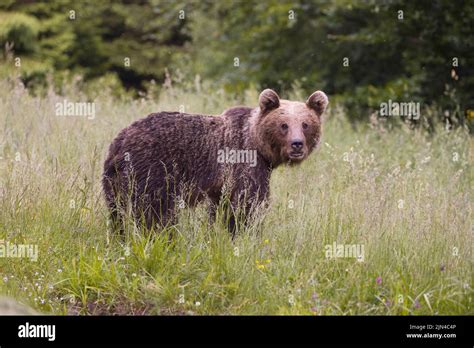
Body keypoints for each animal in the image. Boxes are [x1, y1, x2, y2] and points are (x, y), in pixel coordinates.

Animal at [102, 89, 328, 235]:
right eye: (283, 125)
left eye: (305, 124)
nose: (297, 144)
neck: (259, 146)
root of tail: (120, 140)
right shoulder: (244, 163)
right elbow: (248, 202)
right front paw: (245, 233)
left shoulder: (220, 185)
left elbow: (220, 208)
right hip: (153, 168)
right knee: (155, 210)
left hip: (114, 179)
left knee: (117, 212)